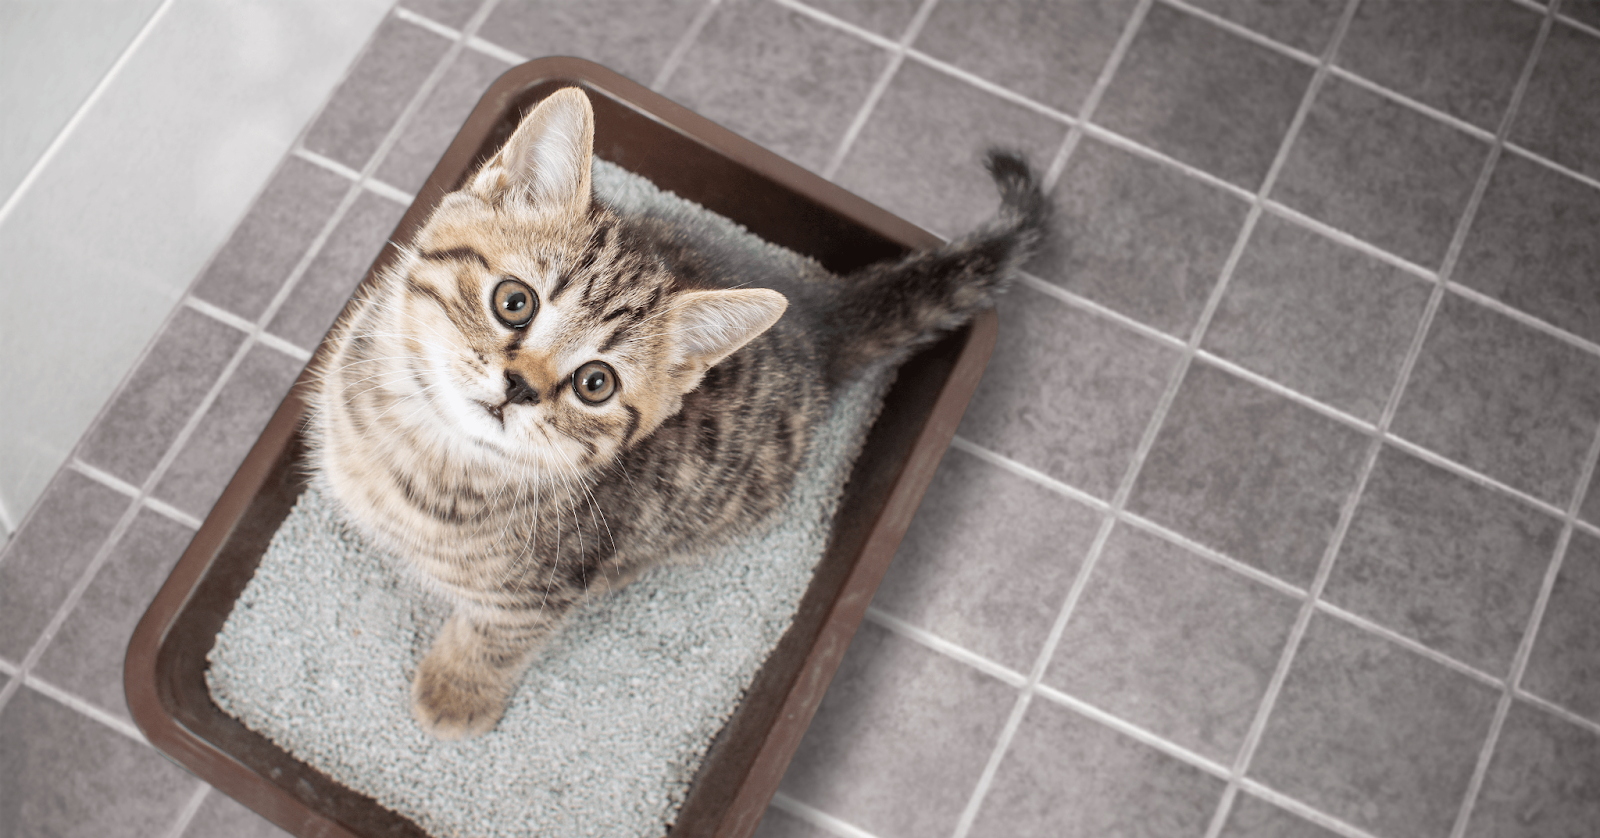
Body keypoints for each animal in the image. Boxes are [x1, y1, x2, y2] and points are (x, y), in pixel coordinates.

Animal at [307, 86, 1049, 738]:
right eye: (514, 301)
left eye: (596, 384)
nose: (520, 387)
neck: (420, 445)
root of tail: (817, 319)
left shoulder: (548, 584)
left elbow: (497, 635)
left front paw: (459, 692)